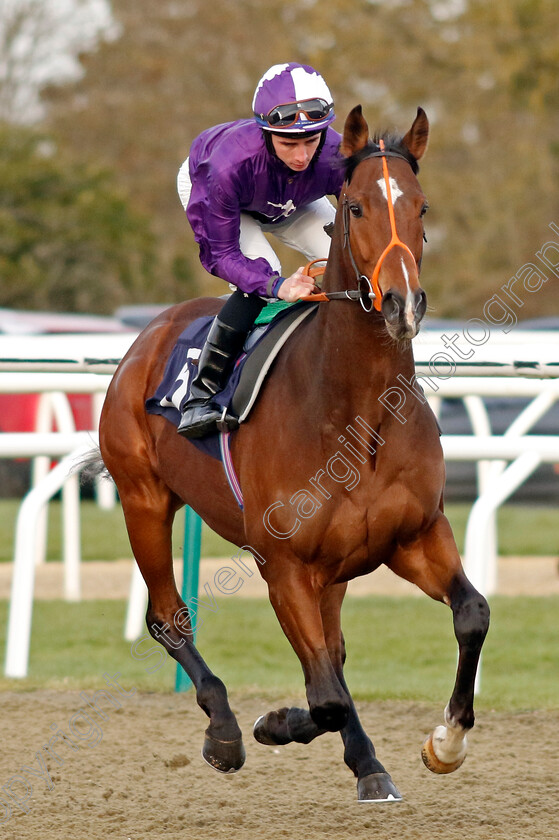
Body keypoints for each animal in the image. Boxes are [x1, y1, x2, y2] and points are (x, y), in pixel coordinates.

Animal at [99, 105, 490, 800]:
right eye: (356, 207)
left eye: (421, 207)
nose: (401, 303)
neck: (357, 415)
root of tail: (148, 335)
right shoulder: (283, 567)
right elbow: (327, 695)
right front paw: (278, 728)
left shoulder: (414, 534)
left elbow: (469, 613)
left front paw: (444, 743)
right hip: (143, 499)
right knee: (169, 616)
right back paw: (225, 729)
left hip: (334, 569)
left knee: (331, 655)